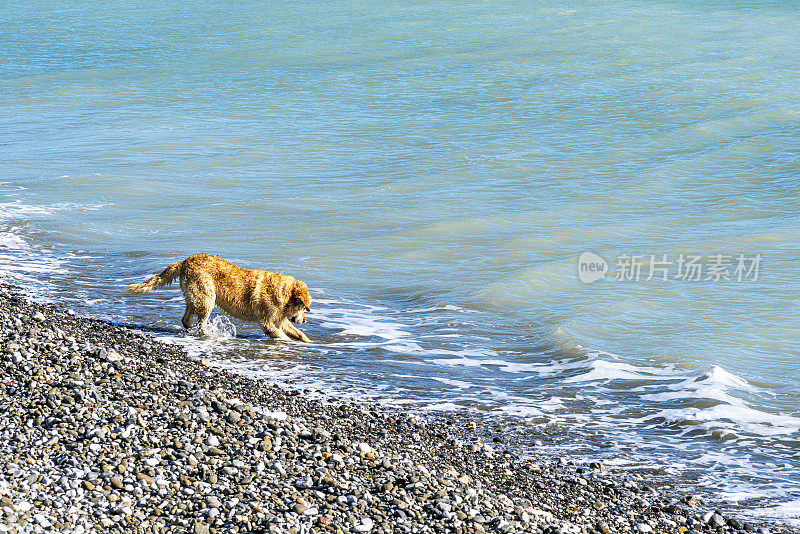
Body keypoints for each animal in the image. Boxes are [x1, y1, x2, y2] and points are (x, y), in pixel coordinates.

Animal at [126, 254, 310, 344]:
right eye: (303, 307)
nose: (304, 320)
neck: (286, 294)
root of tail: (184, 261)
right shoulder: (268, 321)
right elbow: (282, 335)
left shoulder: (280, 319)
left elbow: (298, 333)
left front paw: (309, 341)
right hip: (207, 295)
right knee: (201, 321)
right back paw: (208, 333)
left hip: (195, 296)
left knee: (186, 318)